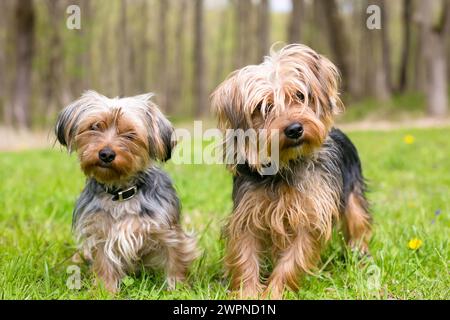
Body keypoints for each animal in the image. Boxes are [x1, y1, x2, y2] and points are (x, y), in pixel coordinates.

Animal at [55, 90, 196, 292]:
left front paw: (178, 287)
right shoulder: (100, 231)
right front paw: (105, 290)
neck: (121, 192)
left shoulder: (167, 229)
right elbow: (103, 263)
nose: (106, 154)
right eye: (94, 126)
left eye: (130, 134)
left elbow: (175, 257)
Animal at [211, 43, 372, 298]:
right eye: (263, 107)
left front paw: (275, 291)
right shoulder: (248, 213)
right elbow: (245, 254)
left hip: (353, 193)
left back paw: (360, 257)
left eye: (299, 95)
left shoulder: (309, 216)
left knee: (358, 224)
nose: (295, 129)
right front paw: (248, 292)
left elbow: (293, 260)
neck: (285, 166)